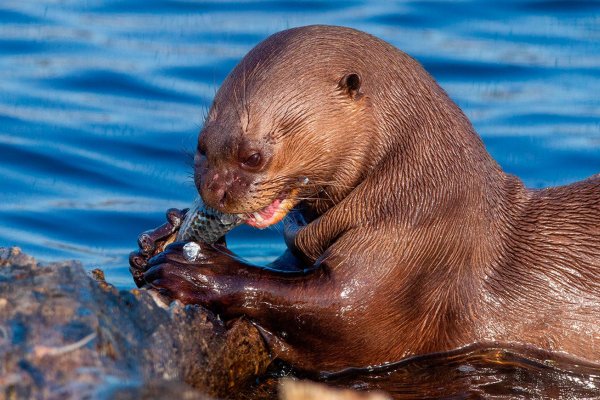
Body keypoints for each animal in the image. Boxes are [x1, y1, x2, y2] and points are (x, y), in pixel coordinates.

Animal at [129, 25, 596, 372]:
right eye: (201, 146)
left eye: (253, 156)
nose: (215, 190)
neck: (421, 193)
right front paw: (158, 238)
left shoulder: (413, 250)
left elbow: (344, 312)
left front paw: (195, 269)